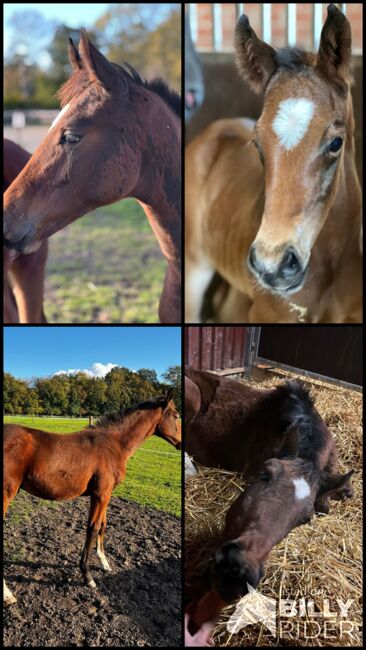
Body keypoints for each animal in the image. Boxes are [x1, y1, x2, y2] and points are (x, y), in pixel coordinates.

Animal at [2, 390, 180, 608]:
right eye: (176, 416)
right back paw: (8, 595)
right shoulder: (101, 494)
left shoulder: (104, 494)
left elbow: (103, 525)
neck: (114, 444)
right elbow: (93, 528)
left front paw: (104, 563)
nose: (182, 444)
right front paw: (87, 577)